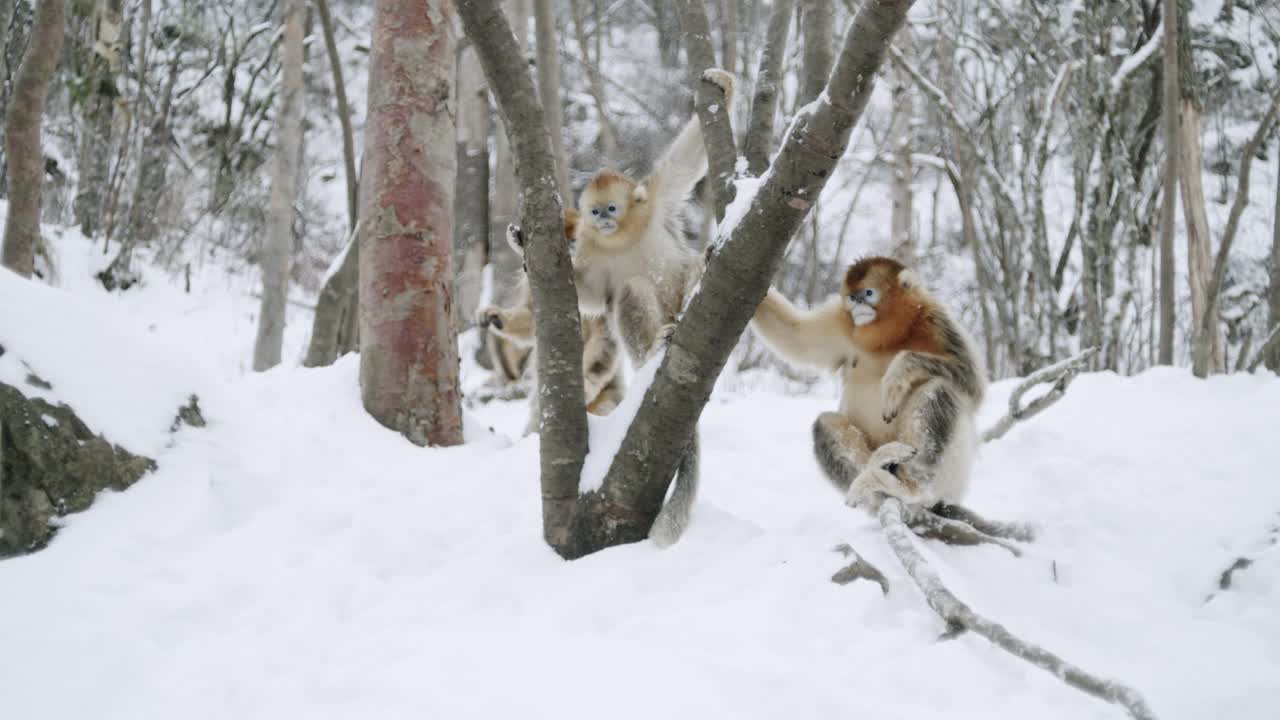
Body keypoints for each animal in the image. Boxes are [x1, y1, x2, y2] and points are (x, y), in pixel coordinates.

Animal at [747, 256, 983, 509]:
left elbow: (971, 383)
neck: (891, 337)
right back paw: (874, 474)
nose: (858, 304)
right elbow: (793, 334)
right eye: (852, 297)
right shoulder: (841, 322)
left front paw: (896, 376)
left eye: (868, 293)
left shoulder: (938, 322)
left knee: (938, 389)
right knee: (825, 423)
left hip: (951, 482)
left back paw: (912, 489)